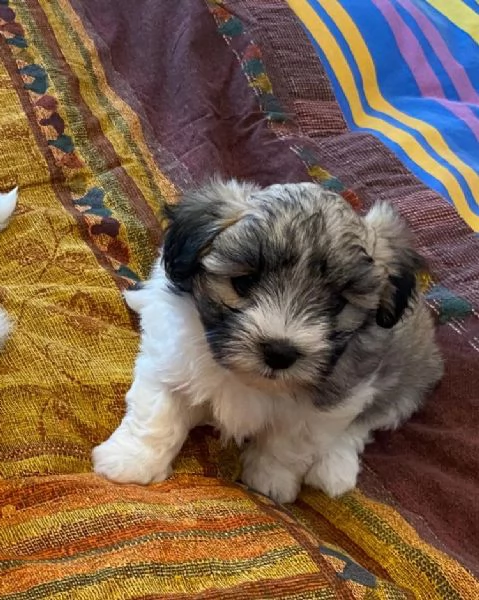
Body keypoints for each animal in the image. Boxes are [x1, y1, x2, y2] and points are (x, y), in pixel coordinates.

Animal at [92, 178, 444, 502]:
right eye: (244, 283)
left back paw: (335, 466)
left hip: (406, 376)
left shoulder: (334, 399)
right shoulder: (170, 361)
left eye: (337, 304)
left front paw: (272, 479)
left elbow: (289, 444)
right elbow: (156, 414)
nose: (279, 351)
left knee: (363, 423)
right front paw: (132, 461)